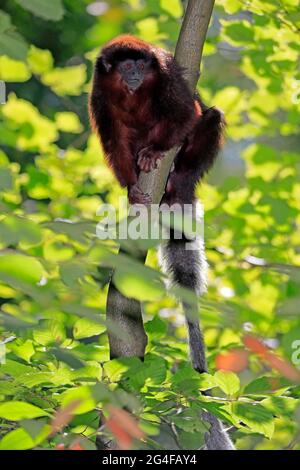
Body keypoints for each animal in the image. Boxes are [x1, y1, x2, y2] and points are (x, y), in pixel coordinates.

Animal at [89, 35, 234, 450]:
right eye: (126, 67)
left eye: (141, 65)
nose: (135, 74)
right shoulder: (98, 92)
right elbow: (113, 138)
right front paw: (130, 187)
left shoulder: (168, 74)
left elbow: (185, 113)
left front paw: (155, 151)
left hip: (191, 165)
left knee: (210, 115)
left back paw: (177, 173)